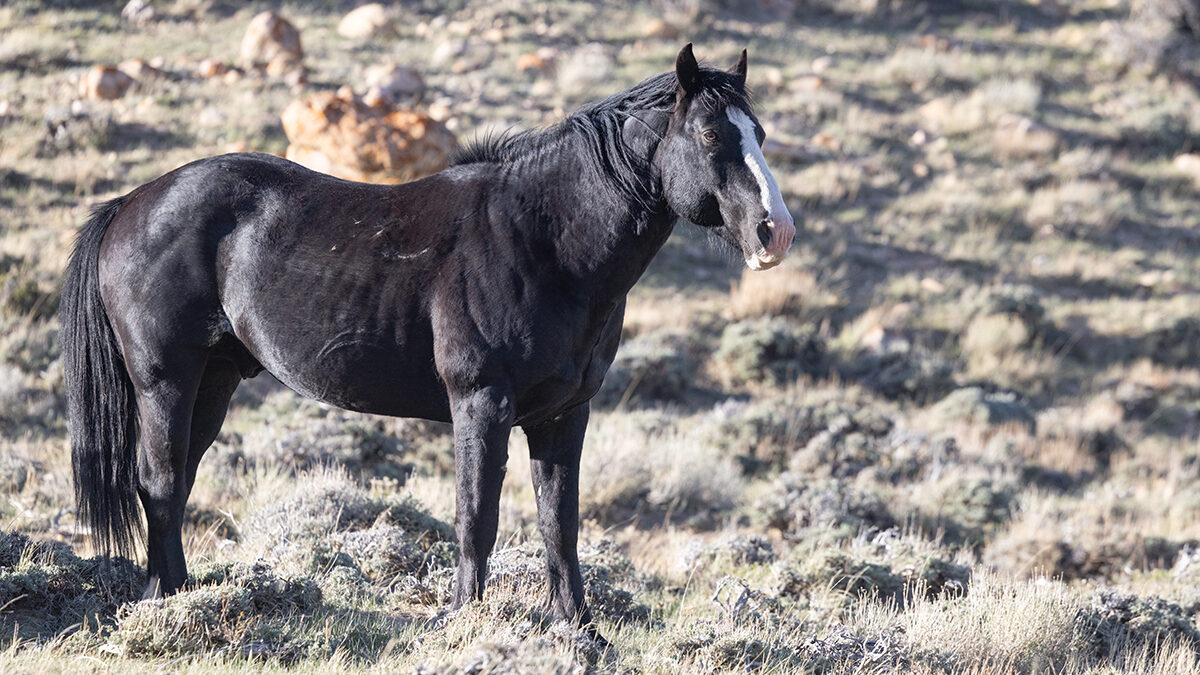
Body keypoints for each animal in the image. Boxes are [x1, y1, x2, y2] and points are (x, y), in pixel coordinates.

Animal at [60, 43, 796, 631]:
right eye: (710, 137)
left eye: (759, 133)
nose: (775, 232)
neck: (544, 240)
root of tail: (131, 204)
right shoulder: (480, 403)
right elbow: (477, 517)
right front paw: (461, 620)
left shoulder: (564, 414)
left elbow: (559, 523)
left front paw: (580, 630)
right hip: (165, 382)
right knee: (158, 483)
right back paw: (164, 602)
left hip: (212, 383)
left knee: (176, 482)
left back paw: (177, 594)